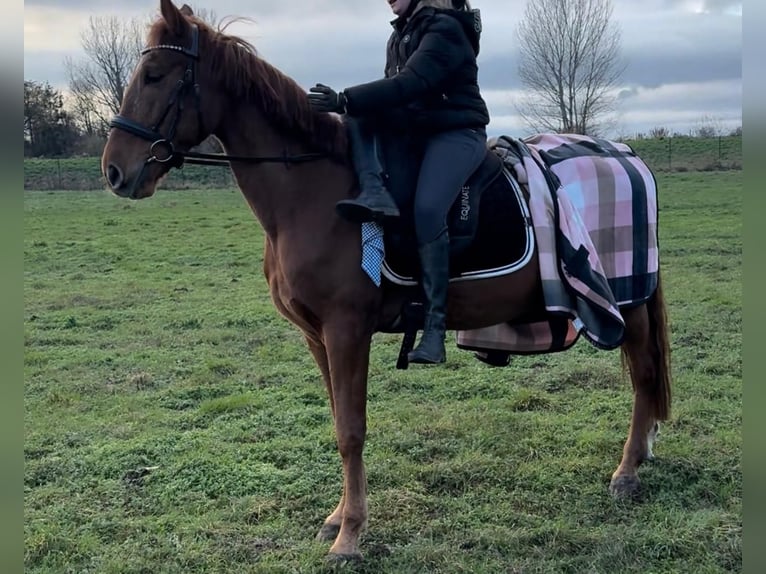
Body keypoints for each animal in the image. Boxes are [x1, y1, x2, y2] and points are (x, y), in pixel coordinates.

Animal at [101, 0, 671, 562]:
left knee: (644, 375)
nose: (114, 172)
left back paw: (626, 472)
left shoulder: (346, 330)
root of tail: (628, 158)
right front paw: (337, 518)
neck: (313, 193)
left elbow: (351, 430)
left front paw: (350, 536)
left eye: (155, 75)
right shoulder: (316, 335)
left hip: (629, 299)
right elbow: (338, 419)